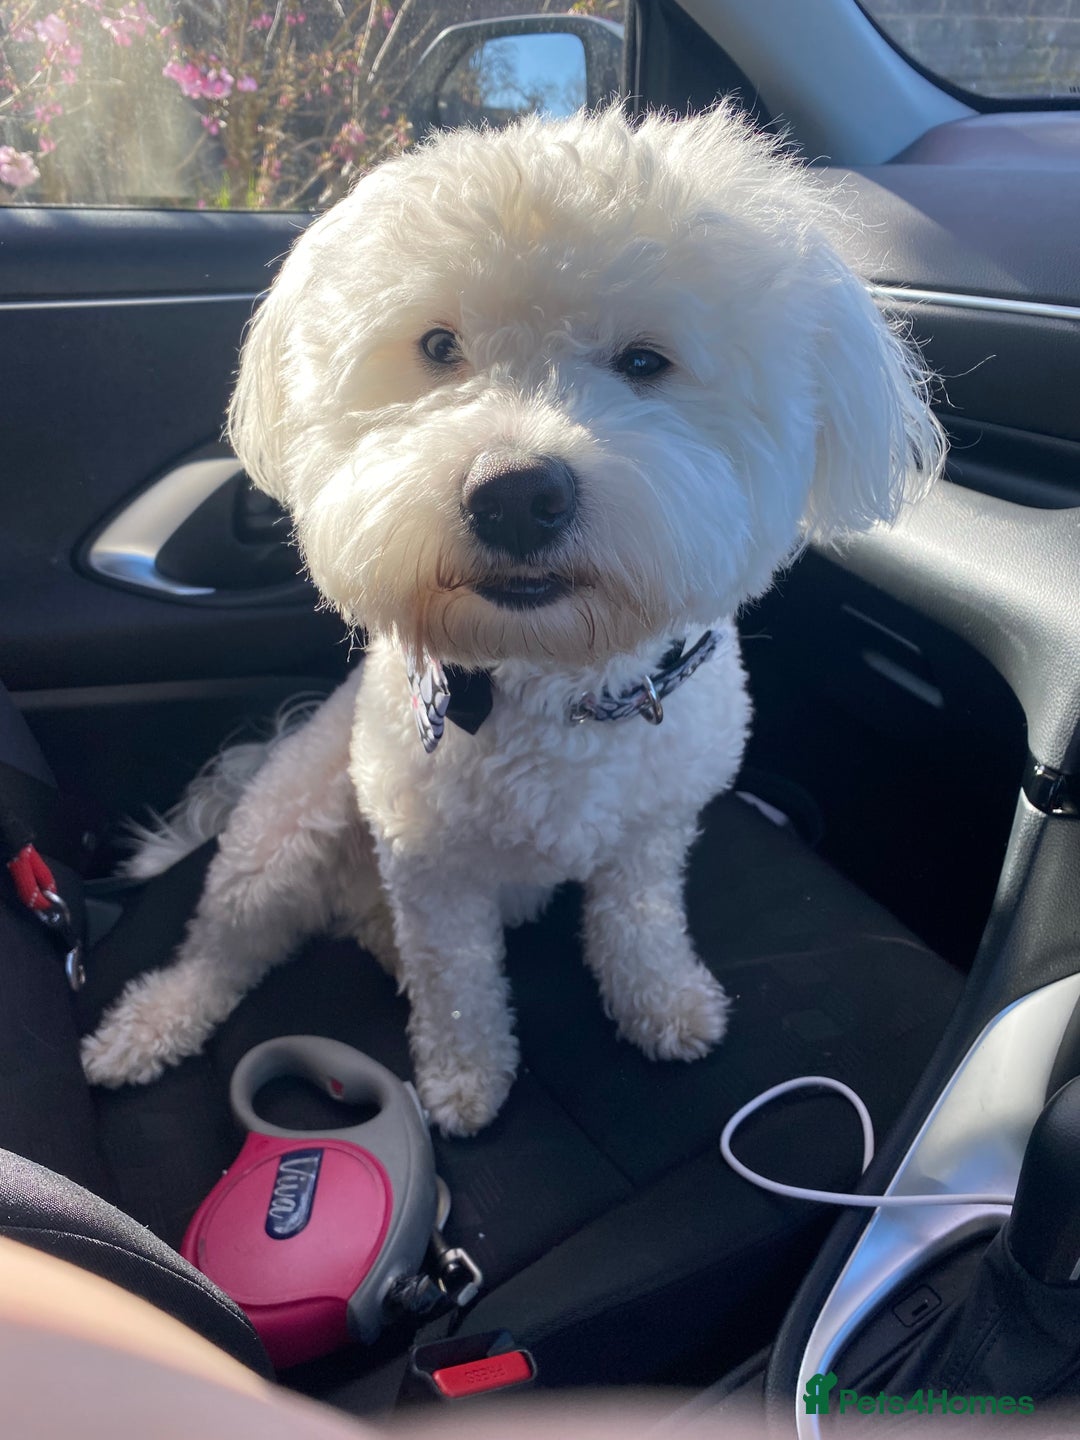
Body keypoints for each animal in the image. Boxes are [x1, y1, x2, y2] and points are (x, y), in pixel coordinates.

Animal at [81, 104, 944, 1135]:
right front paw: (464, 1078)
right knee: (223, 948)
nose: (517, 496)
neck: (554, 683)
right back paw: (147, 1026)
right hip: (283, 830)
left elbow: (639, 922)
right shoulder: (428, 862)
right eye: (438, 347)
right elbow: (456, 982)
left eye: (646, 361)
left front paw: (663, 1002)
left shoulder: (652, 828)